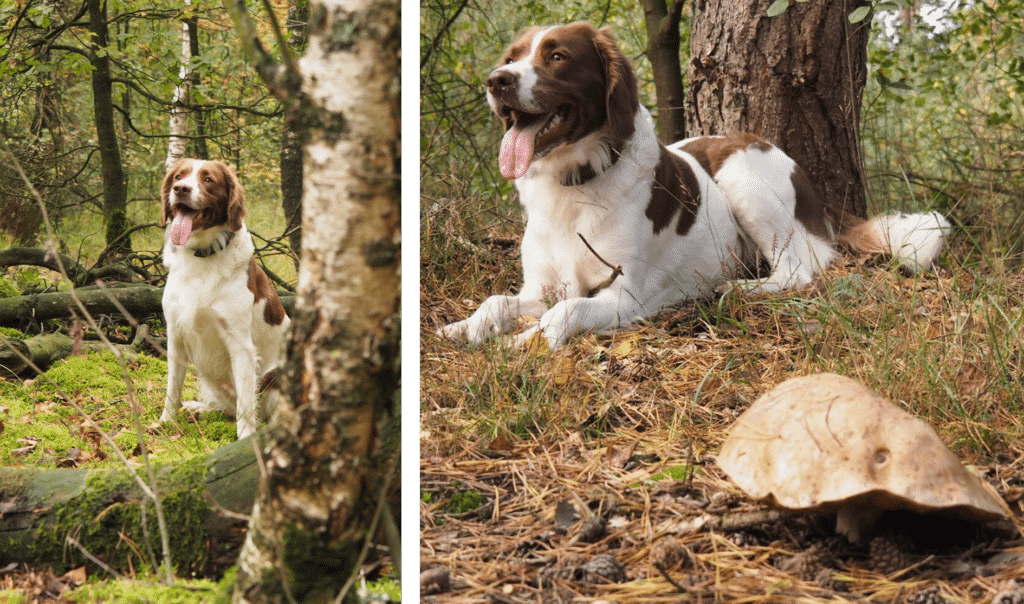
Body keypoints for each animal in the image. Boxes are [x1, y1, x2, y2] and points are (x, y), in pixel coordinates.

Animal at [158, 158, 288, 438]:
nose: (181, 189)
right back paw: (199, 408)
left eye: (208, 180)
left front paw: (245, 438)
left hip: (275, 374)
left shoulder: (241, 345)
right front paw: (165, 423)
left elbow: (246, 405)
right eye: (178, 177)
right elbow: (172, 388)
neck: (201, 257)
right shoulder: (175, 335)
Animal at [440, 23, 950, 350]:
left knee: (800, 270)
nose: (496, 81)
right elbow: (497, 301)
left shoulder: (627, 294)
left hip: (743, 178)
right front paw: (465, 327)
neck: (572, 184)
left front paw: (523, 341)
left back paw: (738, 289)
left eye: (557, 56)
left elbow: (562, 314)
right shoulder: (541, 286)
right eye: (511, 58)